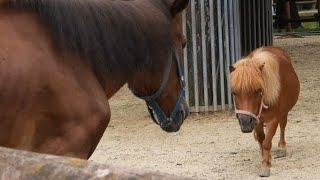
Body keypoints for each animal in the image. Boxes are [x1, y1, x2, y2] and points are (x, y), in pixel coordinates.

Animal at [230, 46, 300, 177]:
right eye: (234, 92)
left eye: (258, 90)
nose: (245, 123)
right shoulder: (256, 120)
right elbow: (261, 140)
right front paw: (266, 159)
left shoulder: (273, 120)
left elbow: (267, 143)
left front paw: (265, 167)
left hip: (284, 113)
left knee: (283, 126)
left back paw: (282, 148)